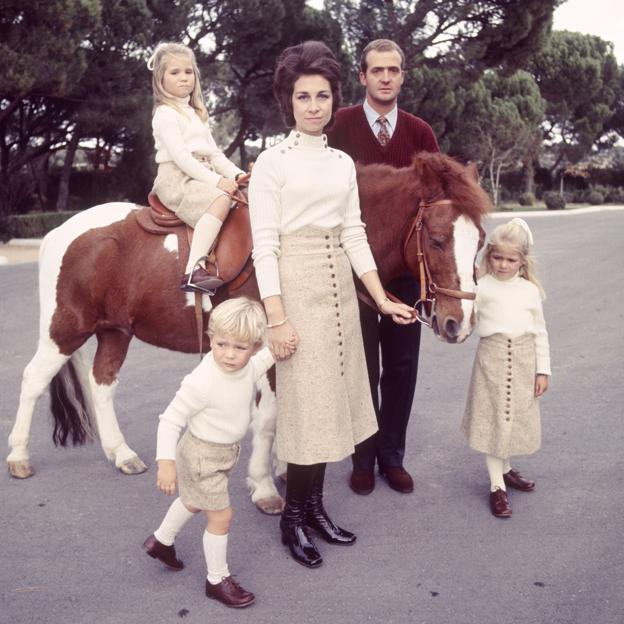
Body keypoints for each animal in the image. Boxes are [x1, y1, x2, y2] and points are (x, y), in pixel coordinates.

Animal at [6, 152, 492, 512]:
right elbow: (270, 417)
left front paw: (280, 467)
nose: (459, 322)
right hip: (66, 328)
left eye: (481, 240)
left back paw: (121, 454)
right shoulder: (273, 348)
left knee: (101, 384)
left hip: (114, 331)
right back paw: (18, 456)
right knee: (32, 380)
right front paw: (264, 486)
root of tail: (61, 232)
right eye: (436, 239)